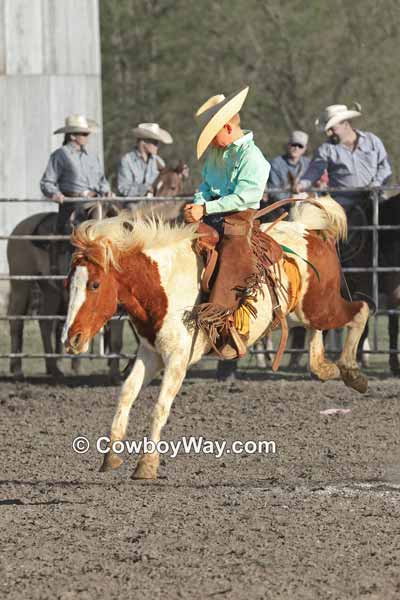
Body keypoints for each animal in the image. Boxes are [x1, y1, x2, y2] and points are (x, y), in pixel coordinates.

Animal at [61, 196, 368, 478]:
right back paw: (326, 367)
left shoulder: (177, 359)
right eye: (67, 284)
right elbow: (126, 394)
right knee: (317, 334)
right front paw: (111, 455)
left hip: (321, 307)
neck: (163, 285)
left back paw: (352, 372)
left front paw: (146, 465)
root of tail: (309, 230)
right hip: (304, 312)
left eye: (94, 284)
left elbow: (160, 407)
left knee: (361, 310)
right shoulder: (151, 353)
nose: (71, 339)